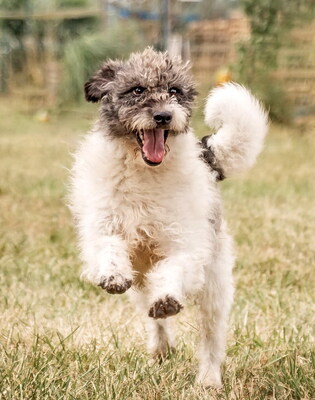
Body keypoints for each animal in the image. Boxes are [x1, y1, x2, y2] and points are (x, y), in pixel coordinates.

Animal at [69, 47, 270, 388]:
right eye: (137, 89)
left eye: (175, 91)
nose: (163, 115)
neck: (145, 174)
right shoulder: (103, 229)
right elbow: (109, 249)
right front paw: (112, 276)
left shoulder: (186, 246)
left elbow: (173, 269)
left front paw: (167, 299)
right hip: (141, 283)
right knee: (154, 321)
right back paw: (161, 348)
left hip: (215, 287)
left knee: (210, 338)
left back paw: (208, 379)